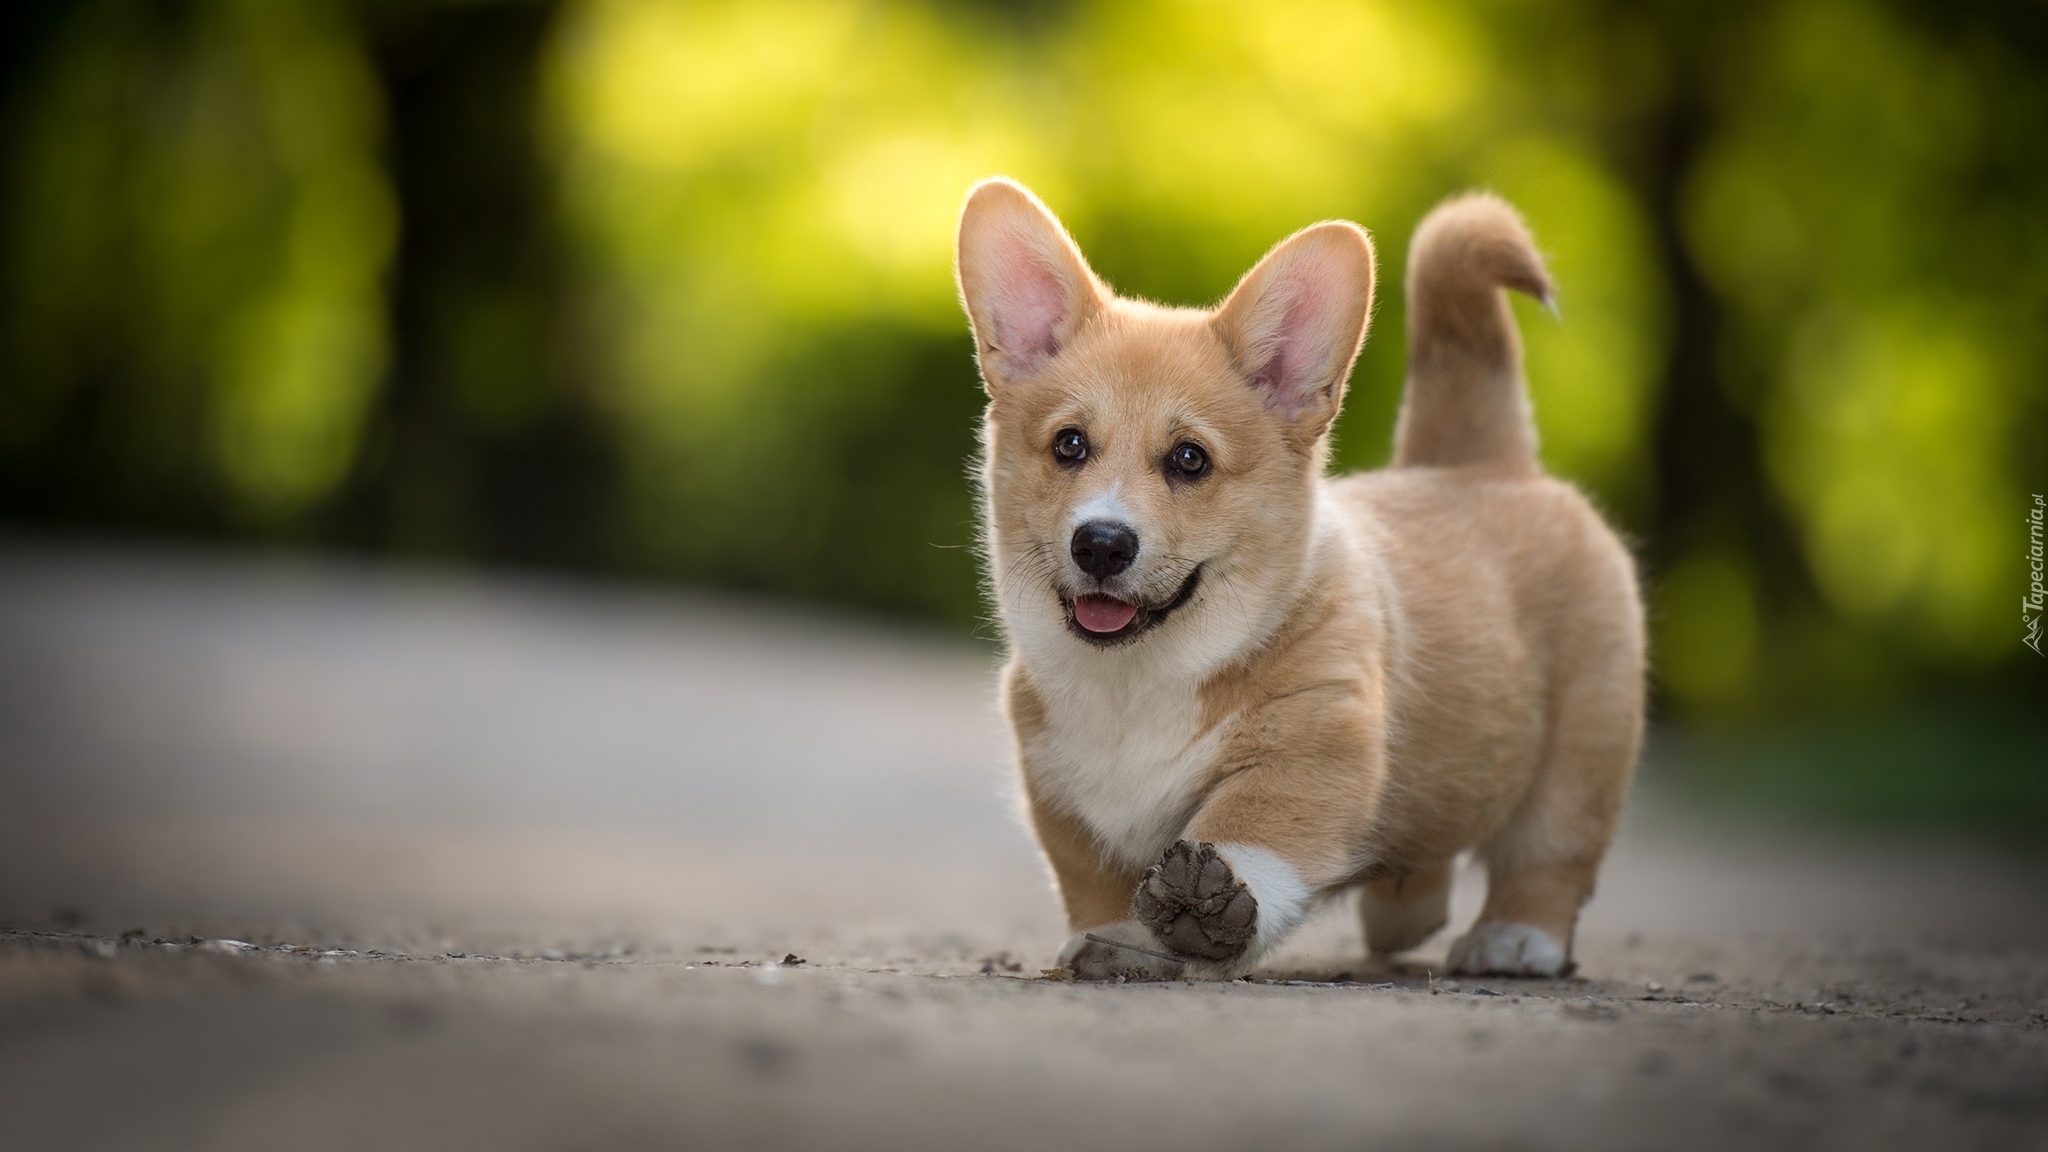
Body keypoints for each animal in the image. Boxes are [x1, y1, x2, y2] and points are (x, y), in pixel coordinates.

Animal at [958, 177, 1646, 975]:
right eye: (1070, 445)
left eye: (1190, 459)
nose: (1101, 544)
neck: (1140, 678)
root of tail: (1487, 463)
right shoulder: (1056, 787)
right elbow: (1091, 880)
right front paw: (1115, 941)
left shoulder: (1312, 749)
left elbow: (1251, 829)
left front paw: (1204, 907)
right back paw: (1403, 913)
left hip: (1580, 754)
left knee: (1550, 856)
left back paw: (1514, 937)